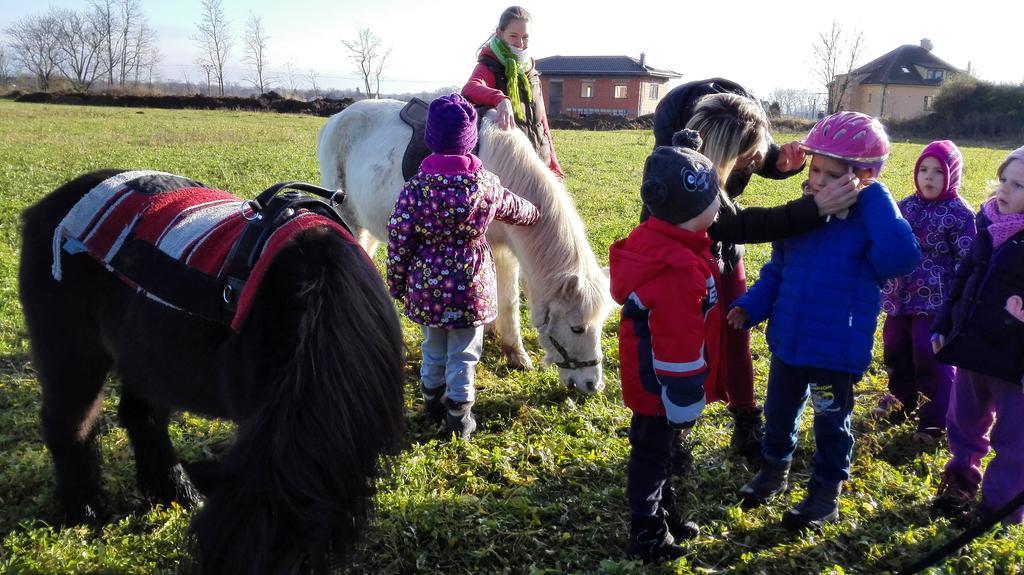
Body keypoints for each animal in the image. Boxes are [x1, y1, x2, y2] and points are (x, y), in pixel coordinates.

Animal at [19, 169, 403, 572]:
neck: (317, 301)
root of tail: (45, 208)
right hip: (74, 356)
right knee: (70, 426)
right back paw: (86, 512)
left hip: (148, 357)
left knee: (141, 418)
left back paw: (174, 492)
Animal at [315, 100, 610, 390]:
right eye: (577, 328)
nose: (591, 385)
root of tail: (335, 120)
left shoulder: (506, 253)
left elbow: (507, 300)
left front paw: (512, 350)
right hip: (348, 216)